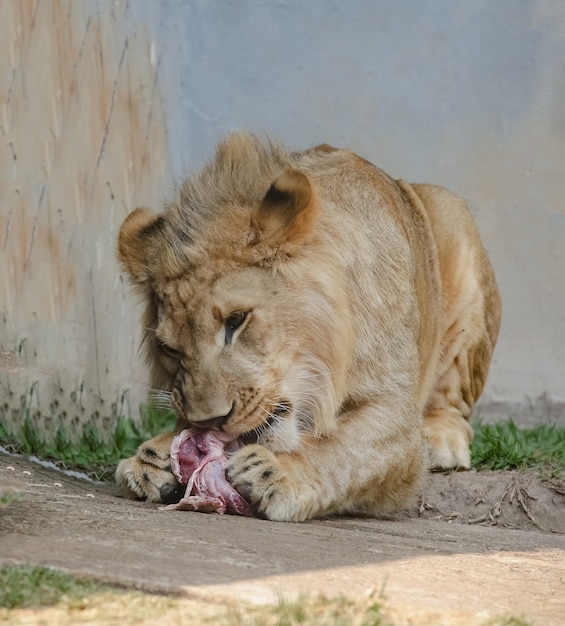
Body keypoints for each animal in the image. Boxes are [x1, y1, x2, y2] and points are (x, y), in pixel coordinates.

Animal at [113, 133, 498, 520]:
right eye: (170, 349)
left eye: (236, 320)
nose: (211, 422)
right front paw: (153, 458)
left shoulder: (395, 411)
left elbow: (341, 452)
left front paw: (276, 473)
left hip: (457, 237)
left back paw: (440, 439)